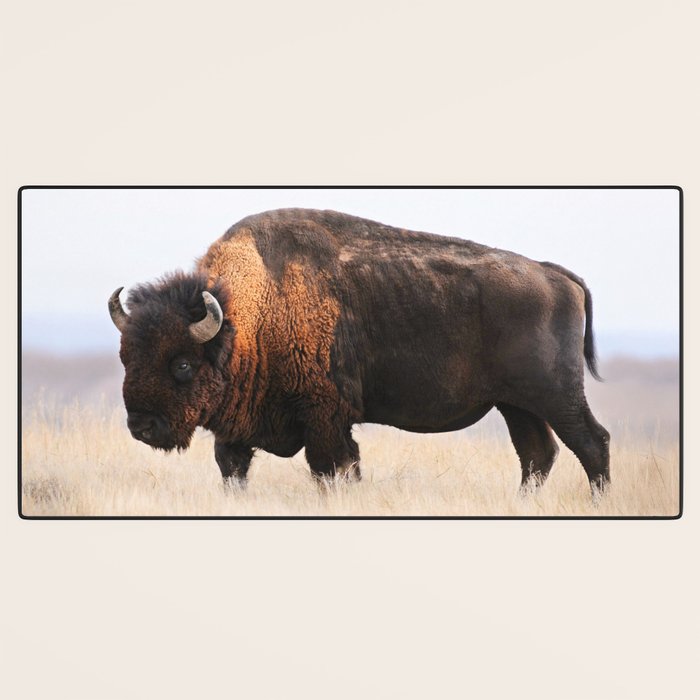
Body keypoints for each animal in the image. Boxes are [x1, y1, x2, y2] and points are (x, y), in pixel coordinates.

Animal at [108, 208, 610, 495]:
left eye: (182, 364)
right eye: (126, 358)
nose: (141, 426)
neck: (249, 313)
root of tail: (553, 274)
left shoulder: (326, 418)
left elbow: (333, 468)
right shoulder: (236, 431)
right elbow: (233, 469)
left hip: (555, 395)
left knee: (591, 442)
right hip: (516, 404)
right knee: (537, 454)